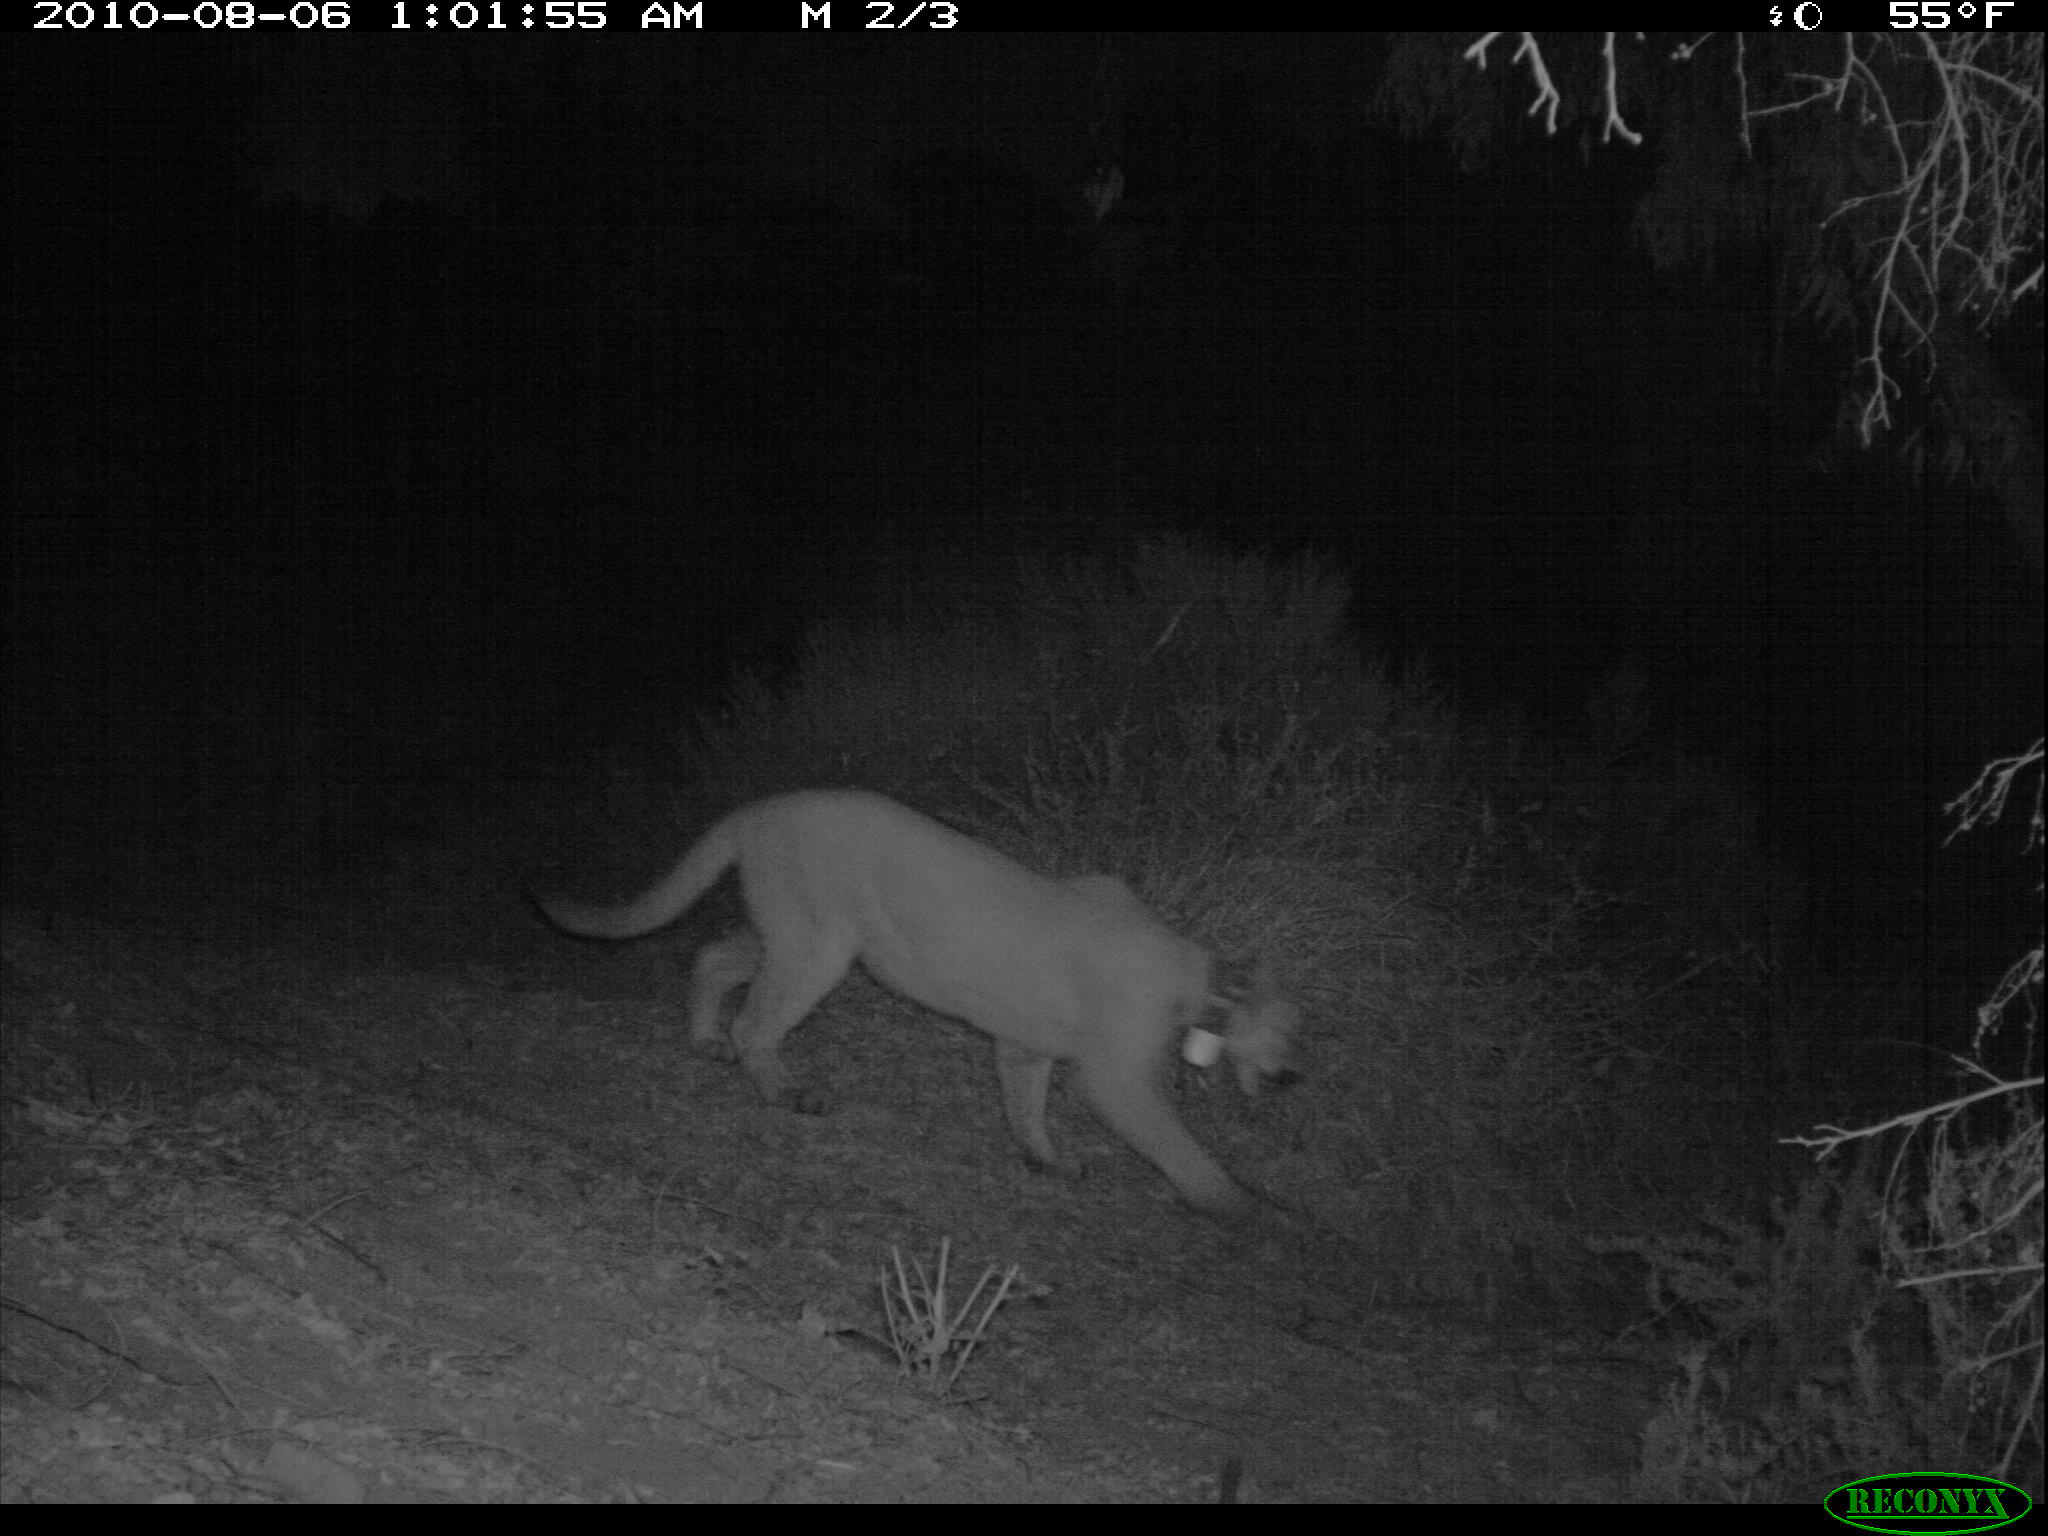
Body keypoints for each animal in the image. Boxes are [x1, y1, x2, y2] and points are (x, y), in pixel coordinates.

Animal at [536, 794, 1302, 1212]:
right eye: (1294, 1034)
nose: (1295, 1075)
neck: (1200, 982)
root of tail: (761, 807)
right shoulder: (1116, 1077)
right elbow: (1175, 1142)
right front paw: (1232, 1204)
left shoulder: (1025, 1046)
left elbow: (1027, 1107)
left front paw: (1046, 1160)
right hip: (819, 945)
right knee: (757, 1019)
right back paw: (787, 1091)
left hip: (792, 932)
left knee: (713, 957)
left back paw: (704, 1040)